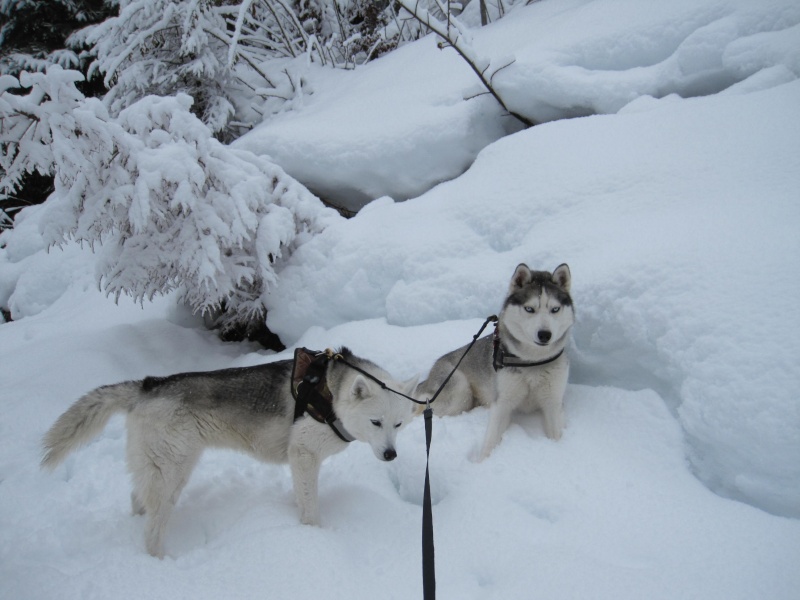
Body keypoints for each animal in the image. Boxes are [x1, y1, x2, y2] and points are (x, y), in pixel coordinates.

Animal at [42, 346, 418, 556]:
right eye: (375, 422)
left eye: (399, 425)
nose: (391, 455)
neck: (331, 393)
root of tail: (148, 385)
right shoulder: (303, 455)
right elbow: (311, 508)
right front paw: (314, 536)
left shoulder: (300, 461)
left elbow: (302, 496)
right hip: (173, 475)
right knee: (152, 531)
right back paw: (163, 563)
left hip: (160, 470)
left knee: (138, 501)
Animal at [412, 262, 576, 460]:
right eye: (530, 309)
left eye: (555, 309)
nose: (544, 334)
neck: (531, 361)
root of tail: (430, 373)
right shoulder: (502, 402)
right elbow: (490, 441)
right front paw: (482, 462)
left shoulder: (553, 402)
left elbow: (557, 432)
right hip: (459, 392)